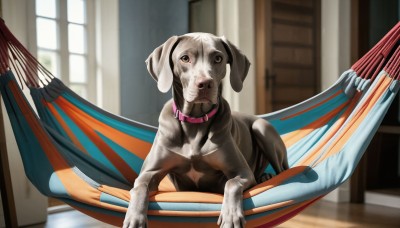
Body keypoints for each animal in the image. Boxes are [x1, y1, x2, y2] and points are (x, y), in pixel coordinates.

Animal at [122, 33, 288, 228]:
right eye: (185, 58)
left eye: (218, 58)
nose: (205, 83)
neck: (195, 122)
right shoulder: (149, 172)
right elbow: (139, 187)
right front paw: (134, 217)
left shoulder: (241, 172)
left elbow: (231, 184)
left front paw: (231, 216)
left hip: (261, 128)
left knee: (283, 170)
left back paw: (267, 177)